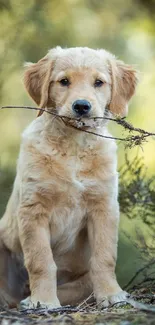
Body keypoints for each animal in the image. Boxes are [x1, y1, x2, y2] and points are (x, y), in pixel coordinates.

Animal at [0, 46, 137, 308]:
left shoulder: (104, 206)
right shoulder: (33, 209)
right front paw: (43, 300)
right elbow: (41, 260)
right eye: (64, 81)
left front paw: (111, 294)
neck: (74, 145)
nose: (82, 106)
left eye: (98, 82)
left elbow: (105, 257)